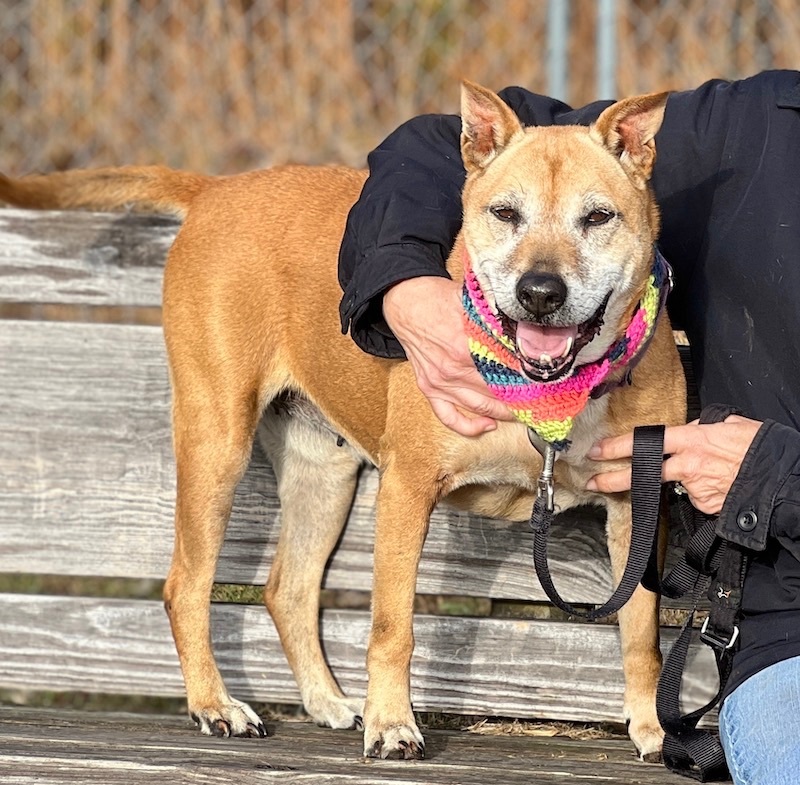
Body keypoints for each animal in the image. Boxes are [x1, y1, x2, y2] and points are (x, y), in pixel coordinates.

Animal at [1, 84, 688, 760]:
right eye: (505, 213)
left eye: (598, 218)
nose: (539, 292)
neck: (547, 392)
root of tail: (215, 190)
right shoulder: (408, 489)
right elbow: (392, 625)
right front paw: (392, 726)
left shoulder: (636, 506)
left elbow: (640, 628)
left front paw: (651, 728)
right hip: (217, 442)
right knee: (186, 586)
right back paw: (216, 705)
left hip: (321, 473)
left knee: (289, 589)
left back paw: (327, 703)